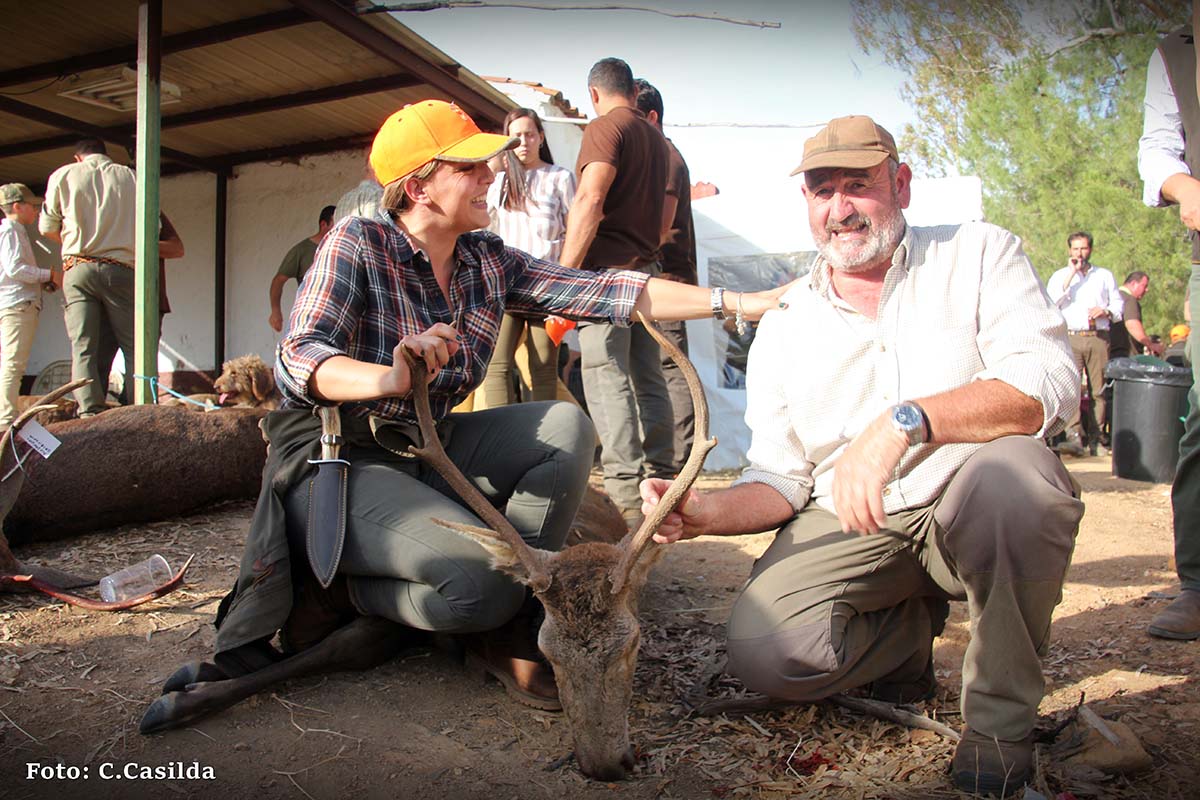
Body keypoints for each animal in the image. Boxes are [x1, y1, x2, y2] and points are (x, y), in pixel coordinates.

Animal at [138, 316, 710, 782]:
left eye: (633, 644)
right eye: (548, 651)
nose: (606, 765)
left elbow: (349, 644)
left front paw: (181, 695)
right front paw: (184, 691)